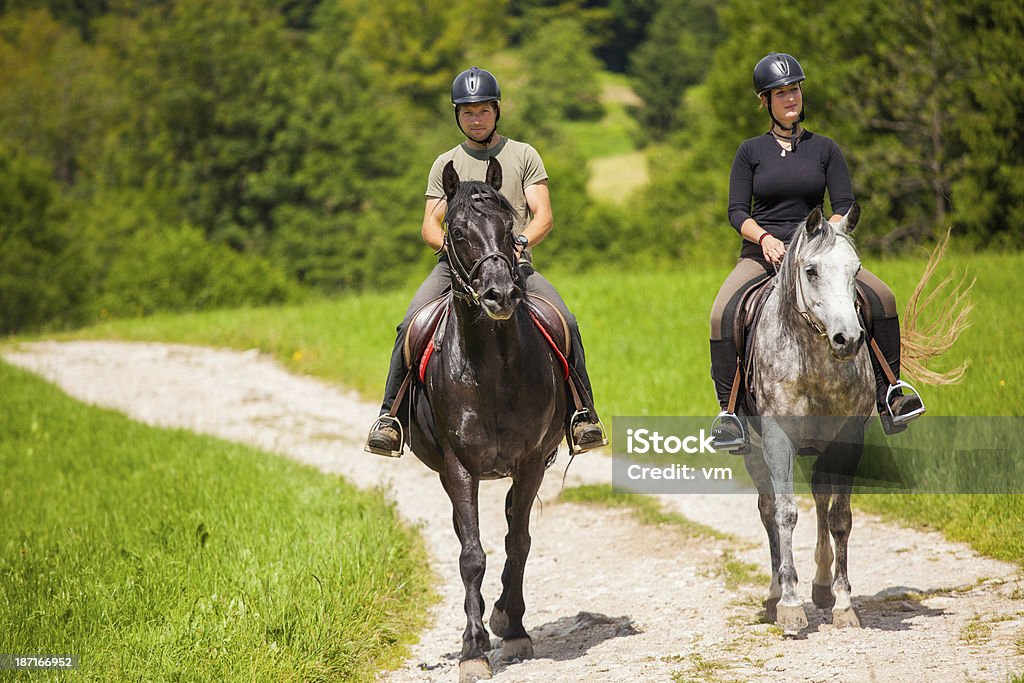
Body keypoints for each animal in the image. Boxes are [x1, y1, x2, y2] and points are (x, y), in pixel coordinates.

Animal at [745, 205, 872, 634]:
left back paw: (820, 585)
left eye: (856, 268)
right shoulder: (777, 439)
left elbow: (840, 517)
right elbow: (784, 513)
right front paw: (788, 604)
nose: (848, 339)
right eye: (811, 270)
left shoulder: (849, 437)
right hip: (752, 451)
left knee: (820, 495)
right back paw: (773, 594)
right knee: (768, 508)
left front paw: (844, 604)